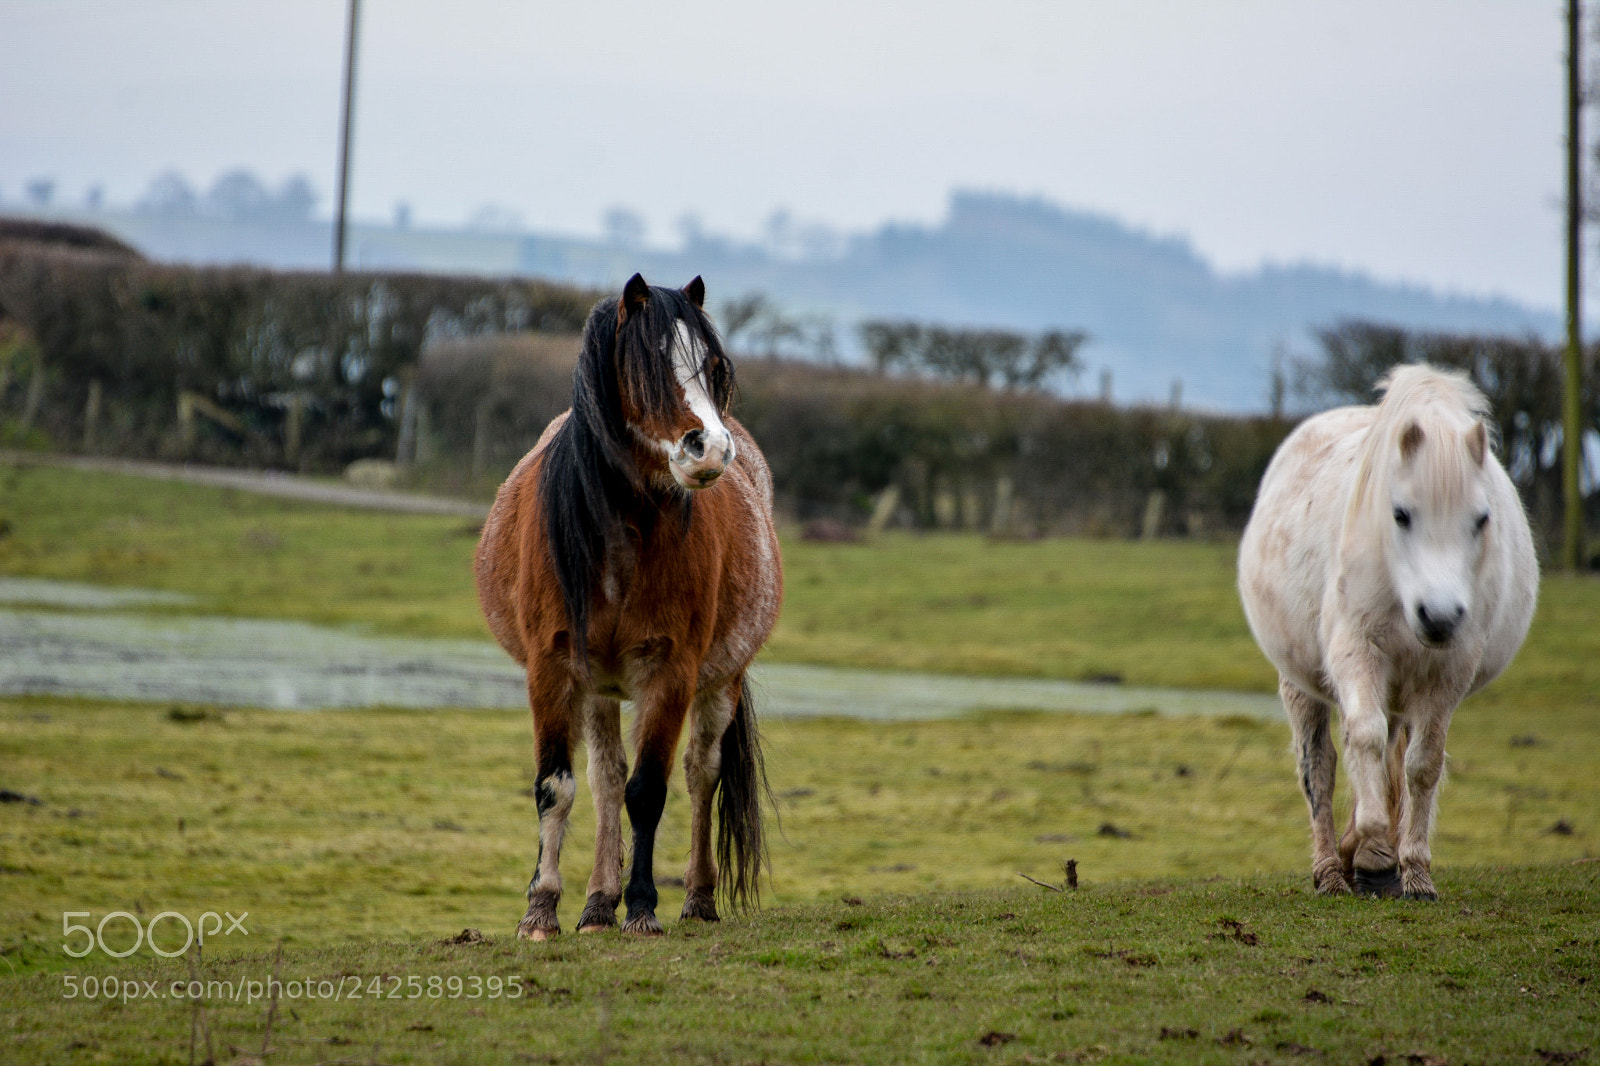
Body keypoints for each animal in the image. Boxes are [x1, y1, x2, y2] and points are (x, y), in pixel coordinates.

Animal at [474, 273, 782, 938]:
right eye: (647, 370)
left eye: (713, 367)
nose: (710, 450)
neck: (617, 537)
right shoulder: (553, 668)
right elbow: (557, 786)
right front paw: (542, 911)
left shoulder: (671, 672)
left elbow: (650, 791)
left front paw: (642, 908)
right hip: (597, 686)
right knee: (605, 778)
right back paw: (596, 903)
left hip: (719, 681)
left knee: (699, 773)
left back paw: (697, 899)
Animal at [1238, 364, 1537, 900]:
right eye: (1400, 514)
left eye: (1481, 519)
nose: (1439, 617)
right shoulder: (1358, 653)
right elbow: (1365, 740)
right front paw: (1374, 844)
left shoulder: (1446, 673)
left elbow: (1421, 764)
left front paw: (1412, 868)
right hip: (1302, 684)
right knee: (1320, 766)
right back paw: (1333, 867)